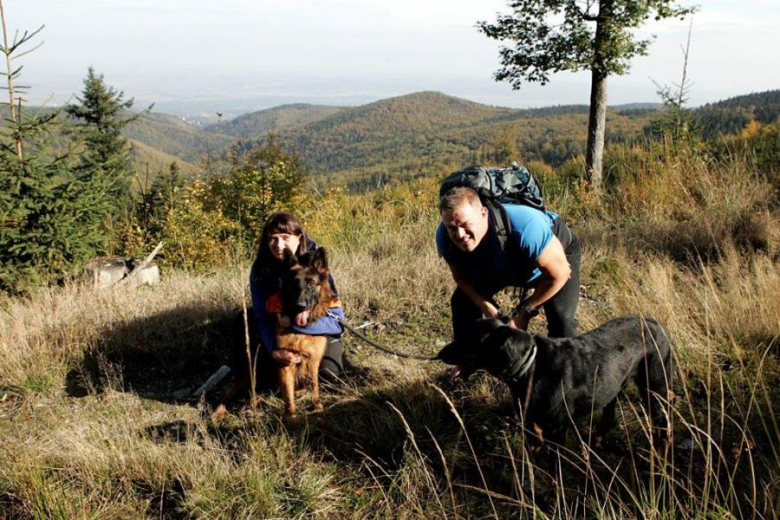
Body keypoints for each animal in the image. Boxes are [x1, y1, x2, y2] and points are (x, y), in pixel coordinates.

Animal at [213, 246, 336, 420]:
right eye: (294, 284)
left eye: (312, 284)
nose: (300, 305)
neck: (301, 330)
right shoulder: (285, 364)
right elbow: (288, 397)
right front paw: (292, 418)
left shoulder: (313, 361)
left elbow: (315, 387)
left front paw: (317, 407)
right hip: (250, 370)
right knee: (231, 392)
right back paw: (221, 411)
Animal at [436, 314, 672, 444]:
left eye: (467, 339)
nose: (440, 353)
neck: (530, 364)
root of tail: (656, 323)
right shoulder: (533, 421)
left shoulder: (557, 428)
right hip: (613, 388)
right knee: (609, 418)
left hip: (655, 390)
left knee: (663, 425)